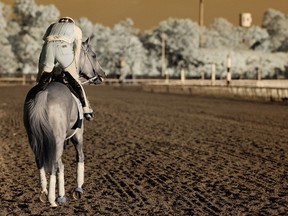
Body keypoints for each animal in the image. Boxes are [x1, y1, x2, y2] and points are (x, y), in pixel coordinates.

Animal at [23, 38, 104, 207]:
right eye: (93, 55)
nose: (102, 75)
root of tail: (43, 93)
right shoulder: (77, 135)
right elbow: (79, 157)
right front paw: (78, 189)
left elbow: (61, 165)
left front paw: (62, 194)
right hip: (59, 140)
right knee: (54, 164)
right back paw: (52, 199)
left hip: (35, 140)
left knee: (42, 162)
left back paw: (45, 192)